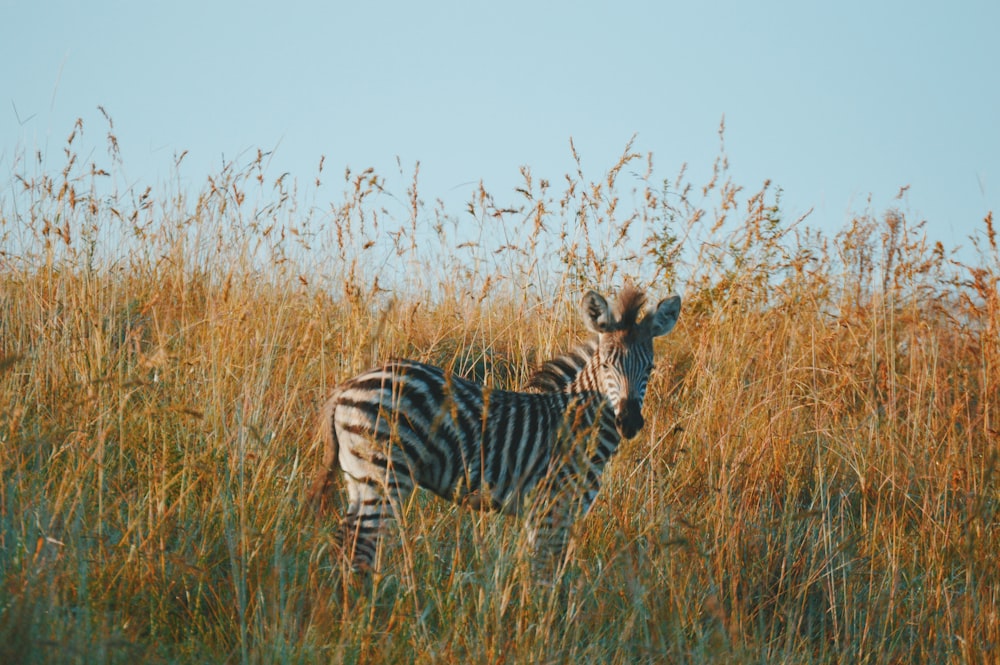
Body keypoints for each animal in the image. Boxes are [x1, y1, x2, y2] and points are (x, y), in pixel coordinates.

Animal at [304, 286, 680, 572]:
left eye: (650, 367)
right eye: (605, 366)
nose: (628, 422)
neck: (578, 424)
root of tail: (348, 385)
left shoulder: (550, 512)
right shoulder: (552, 506)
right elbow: (545, 575)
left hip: (360, 478)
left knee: (346, 541)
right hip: (383, 476)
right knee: (360, 549)